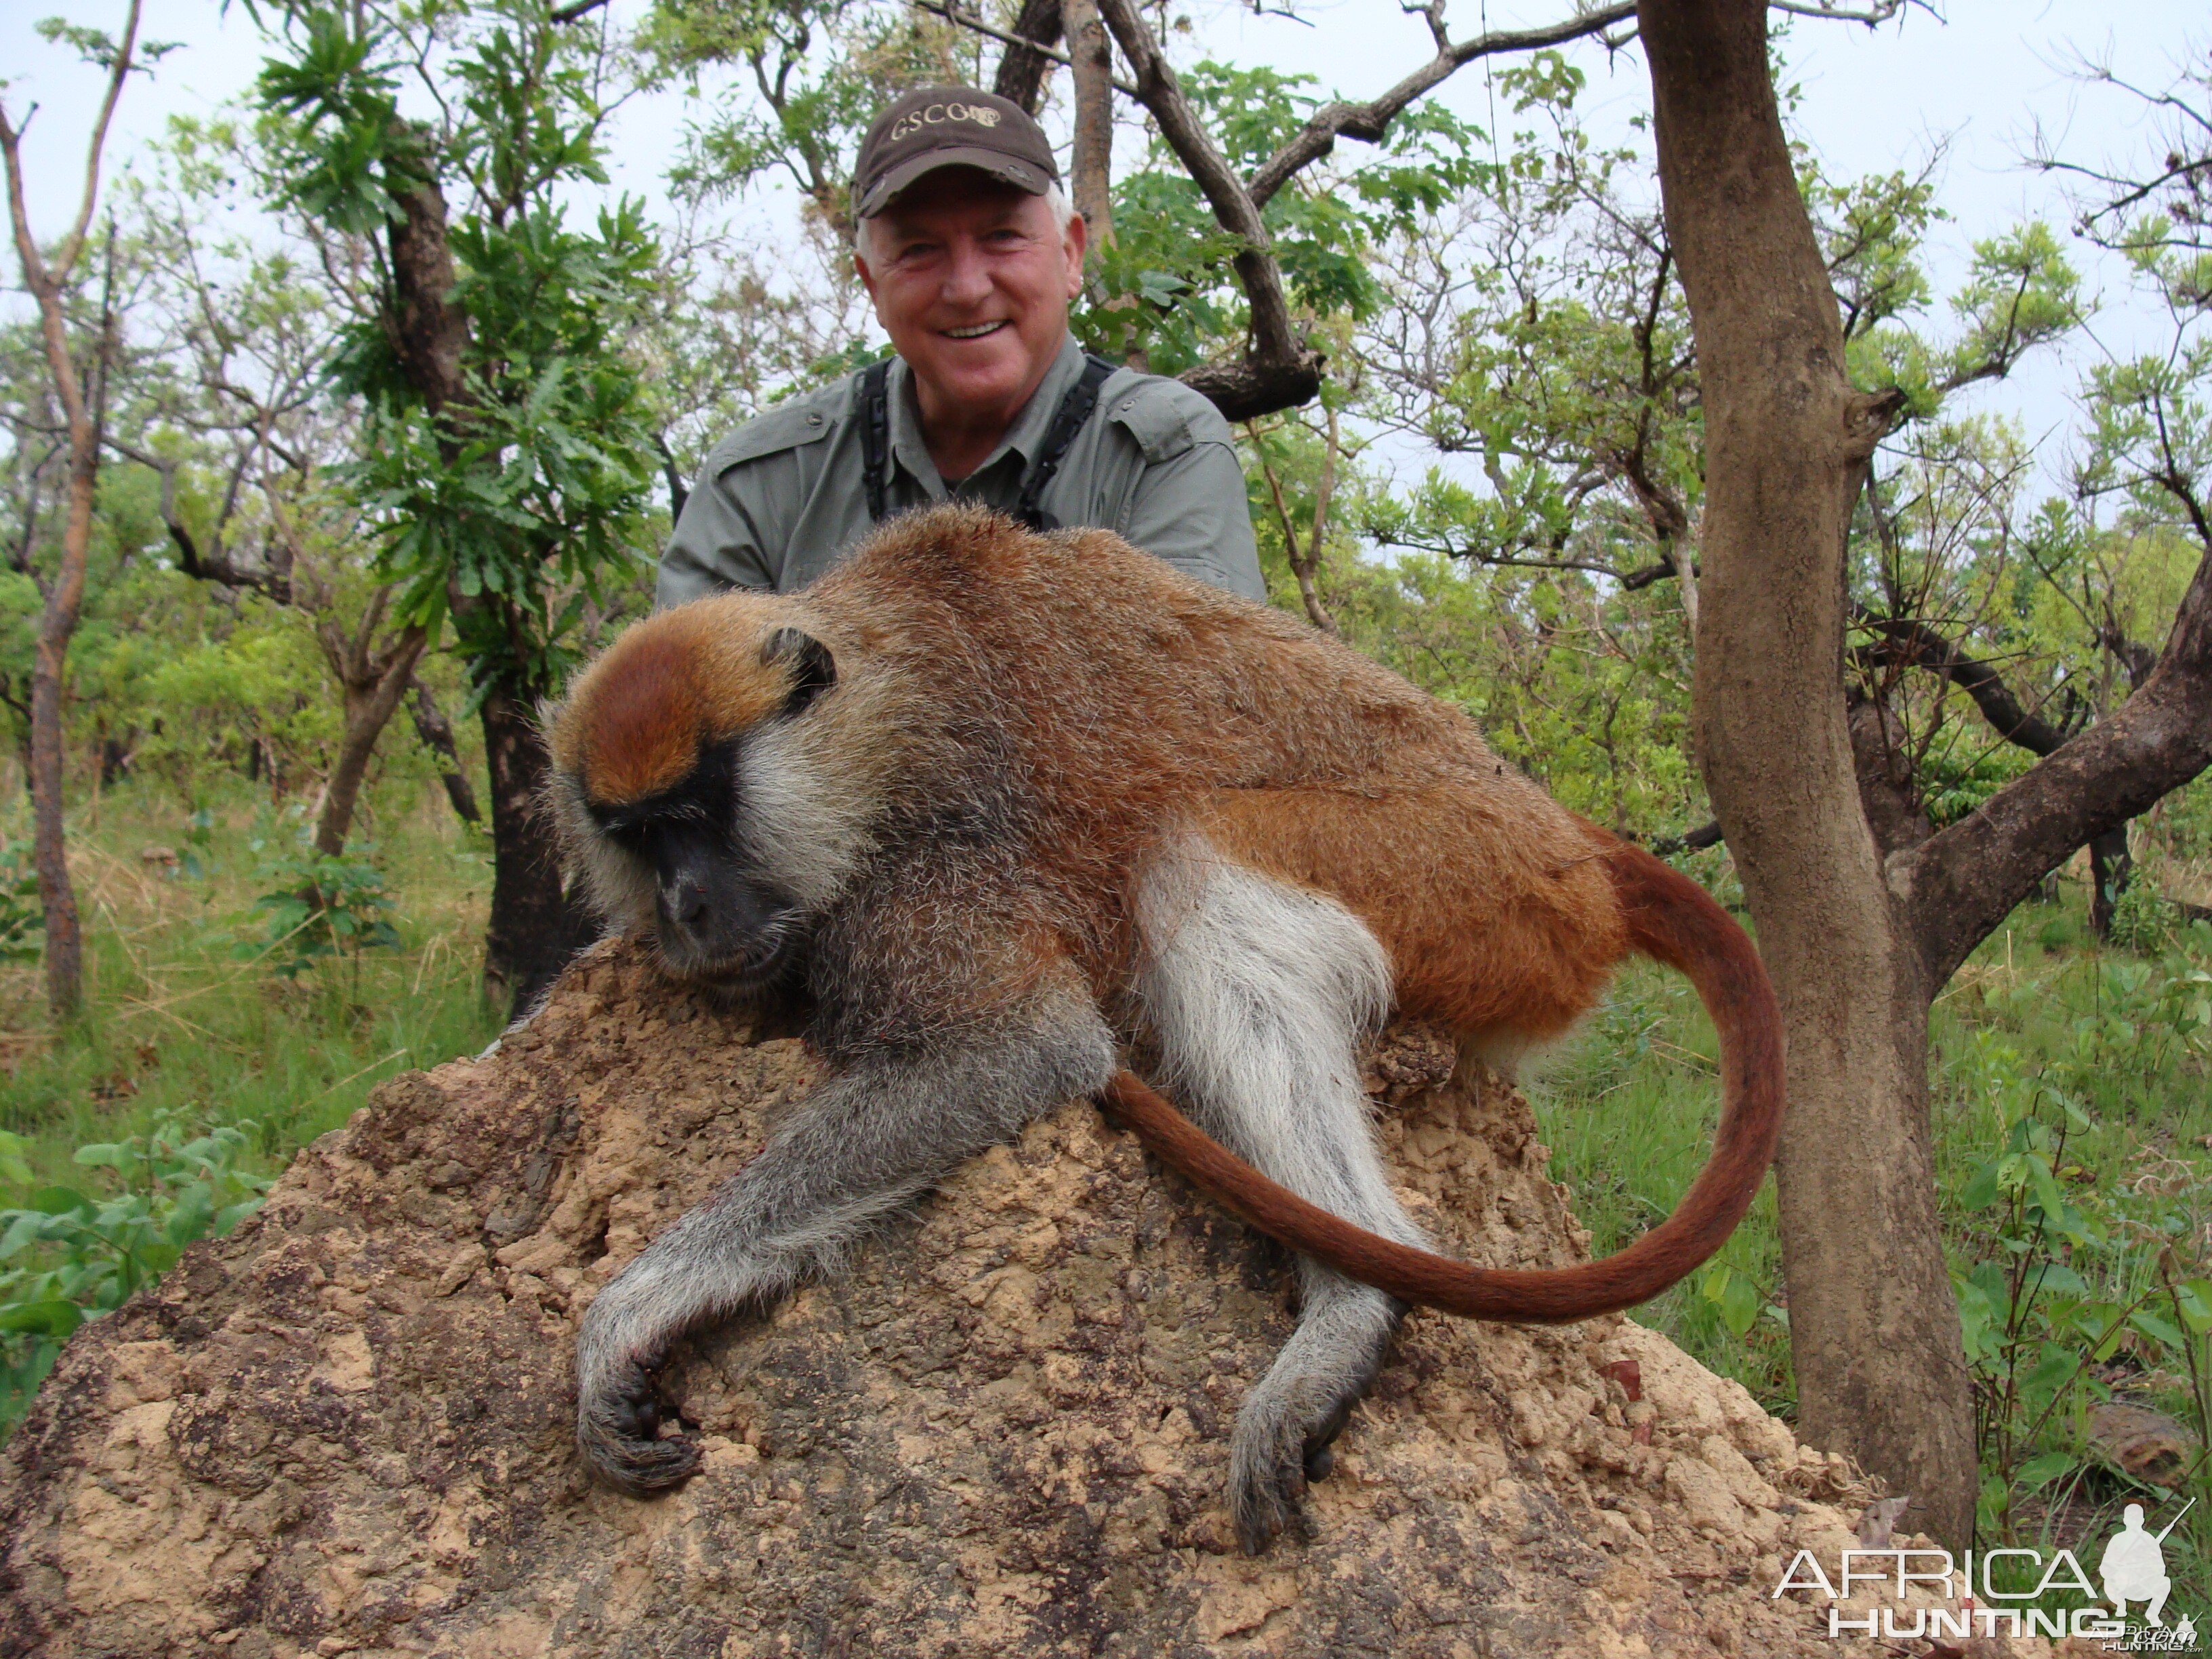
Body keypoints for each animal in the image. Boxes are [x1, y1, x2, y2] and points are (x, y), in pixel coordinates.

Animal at [548, 506, 1778, 1557]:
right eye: (636, 834)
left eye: (698, 814)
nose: (684, 906)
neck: (873, 693)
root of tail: (1568, 836)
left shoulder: (913, 875)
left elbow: (1016, 1047)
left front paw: (633, 1308)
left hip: (1482, 887)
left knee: (1196, 870)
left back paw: (1356, 1305)